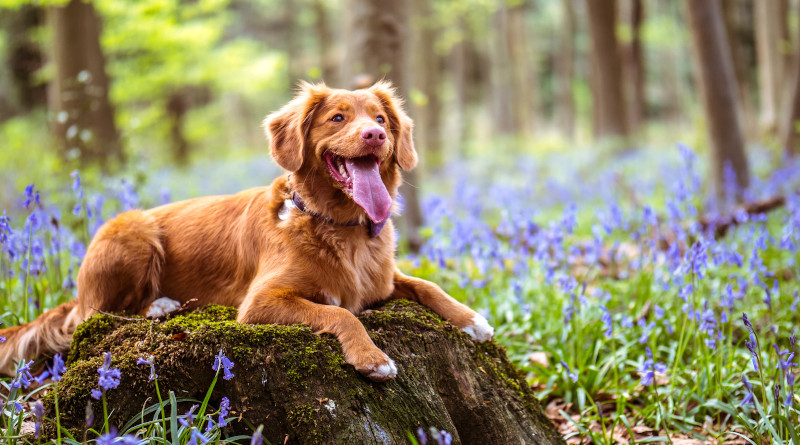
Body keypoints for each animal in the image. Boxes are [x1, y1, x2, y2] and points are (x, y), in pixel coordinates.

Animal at [0, 81, 494, 380]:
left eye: (380, 119)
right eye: (337, 118)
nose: (375, 135)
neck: (340, 227)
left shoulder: (384, 280)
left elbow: (427, 285)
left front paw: (471, 319)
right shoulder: (260, 303)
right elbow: (342, 314)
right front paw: (372, 358)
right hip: (133, 231)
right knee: (98, 314)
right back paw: (159, 305)